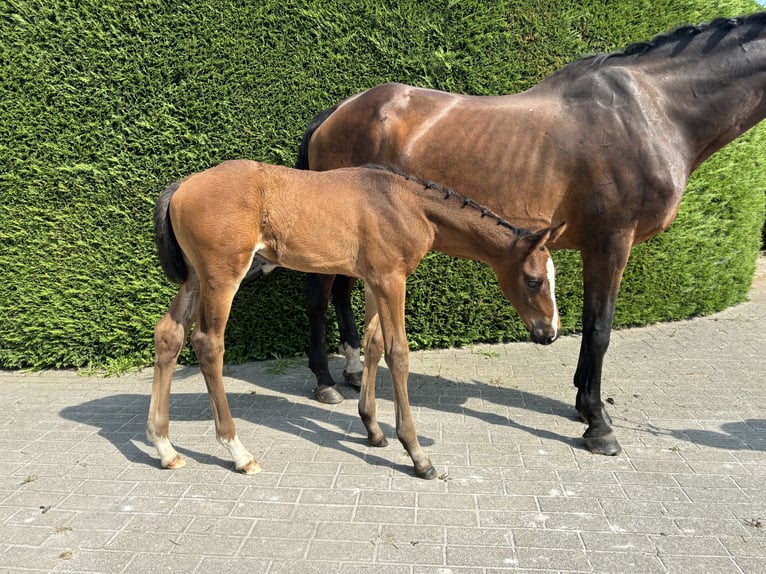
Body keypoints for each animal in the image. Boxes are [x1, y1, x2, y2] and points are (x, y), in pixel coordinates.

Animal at [150, 160, 568, 480]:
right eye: (534, 280)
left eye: (553, 276)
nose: (549, 333)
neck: (406, 204)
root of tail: (182, 186)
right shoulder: (390, 279)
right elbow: (398, 353)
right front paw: (417, 454)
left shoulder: (373, 280)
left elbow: (373, 343)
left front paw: (373, 428)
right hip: (221, 276)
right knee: (207, 343)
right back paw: (238, 452)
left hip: (195, 277)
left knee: (169, 335)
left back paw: (165, 447)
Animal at [298, 11, 766, 456]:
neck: (652, 110)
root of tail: (335, 112)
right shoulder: (611, 242)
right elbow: (600, 329)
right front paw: (597, 425)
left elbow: (591, 328)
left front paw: (584, 404)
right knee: (320, 295)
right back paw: (324, 380)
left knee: (340, 291)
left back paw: (352, 369)